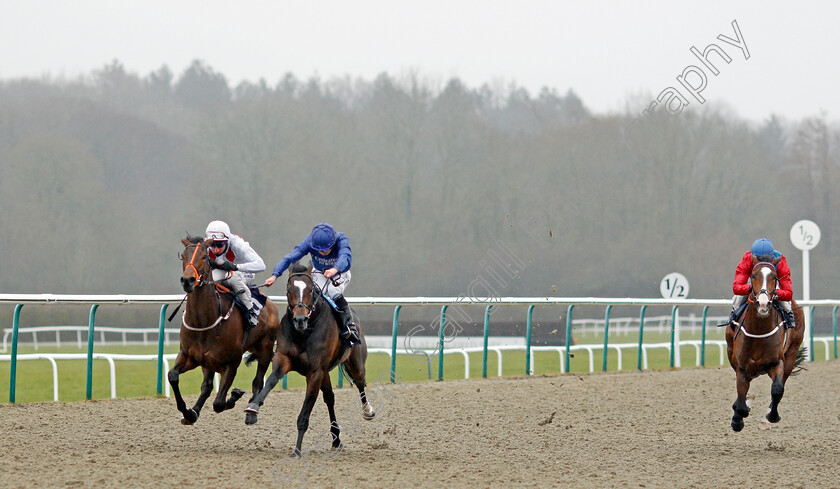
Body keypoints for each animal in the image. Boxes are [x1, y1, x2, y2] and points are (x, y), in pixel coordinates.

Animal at [171, 235, 282, 424]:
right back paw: (195, 411)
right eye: (183, 257)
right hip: (208, 362)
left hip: (265, 349)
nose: (188, 280)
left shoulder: (231, 363)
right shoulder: (189, 356)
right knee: (207, 386)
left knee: (258, 382)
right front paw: (189, 413)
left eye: (204, 257)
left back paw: (251, 412)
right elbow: (173, 376)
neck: (203, 321)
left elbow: (219, 403)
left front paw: (235, 395)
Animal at [243, 262, 374, 456]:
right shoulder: (284, 359)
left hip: (355, 363)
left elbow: (305, 413)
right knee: (330, 398)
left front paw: (297, 450)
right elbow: (271, 381)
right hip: (326, 372)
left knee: (360, 384)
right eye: (289, 289)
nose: (299, 319)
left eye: (311, 290)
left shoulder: (315, 372)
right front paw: (253, 408)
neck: (304, 332)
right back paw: (336, 440)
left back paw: (368, 411)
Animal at [720, 258, 808, 428]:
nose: (763, 304)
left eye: (775, 277)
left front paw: (771, 416)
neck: (758, 332)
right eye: (753, 276)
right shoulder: (742, 366)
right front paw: (738, 418)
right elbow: (741, 401)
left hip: (792, 352)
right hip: (731, 352)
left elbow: (777, 389)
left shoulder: (777, 362)